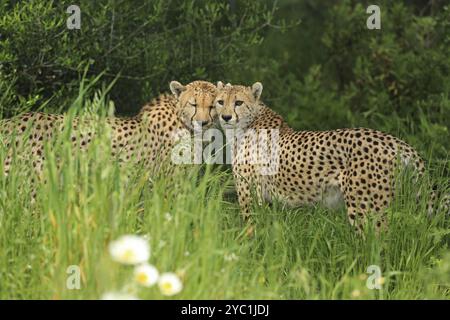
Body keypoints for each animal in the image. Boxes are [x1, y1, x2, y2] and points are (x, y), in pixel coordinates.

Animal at [214, 82, 432, 232]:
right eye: (220, 102)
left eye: (238, 102)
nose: (226, 117)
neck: (247, 124)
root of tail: (394, 140)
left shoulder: (249, 196)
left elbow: (251, 230)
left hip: (365, 208)